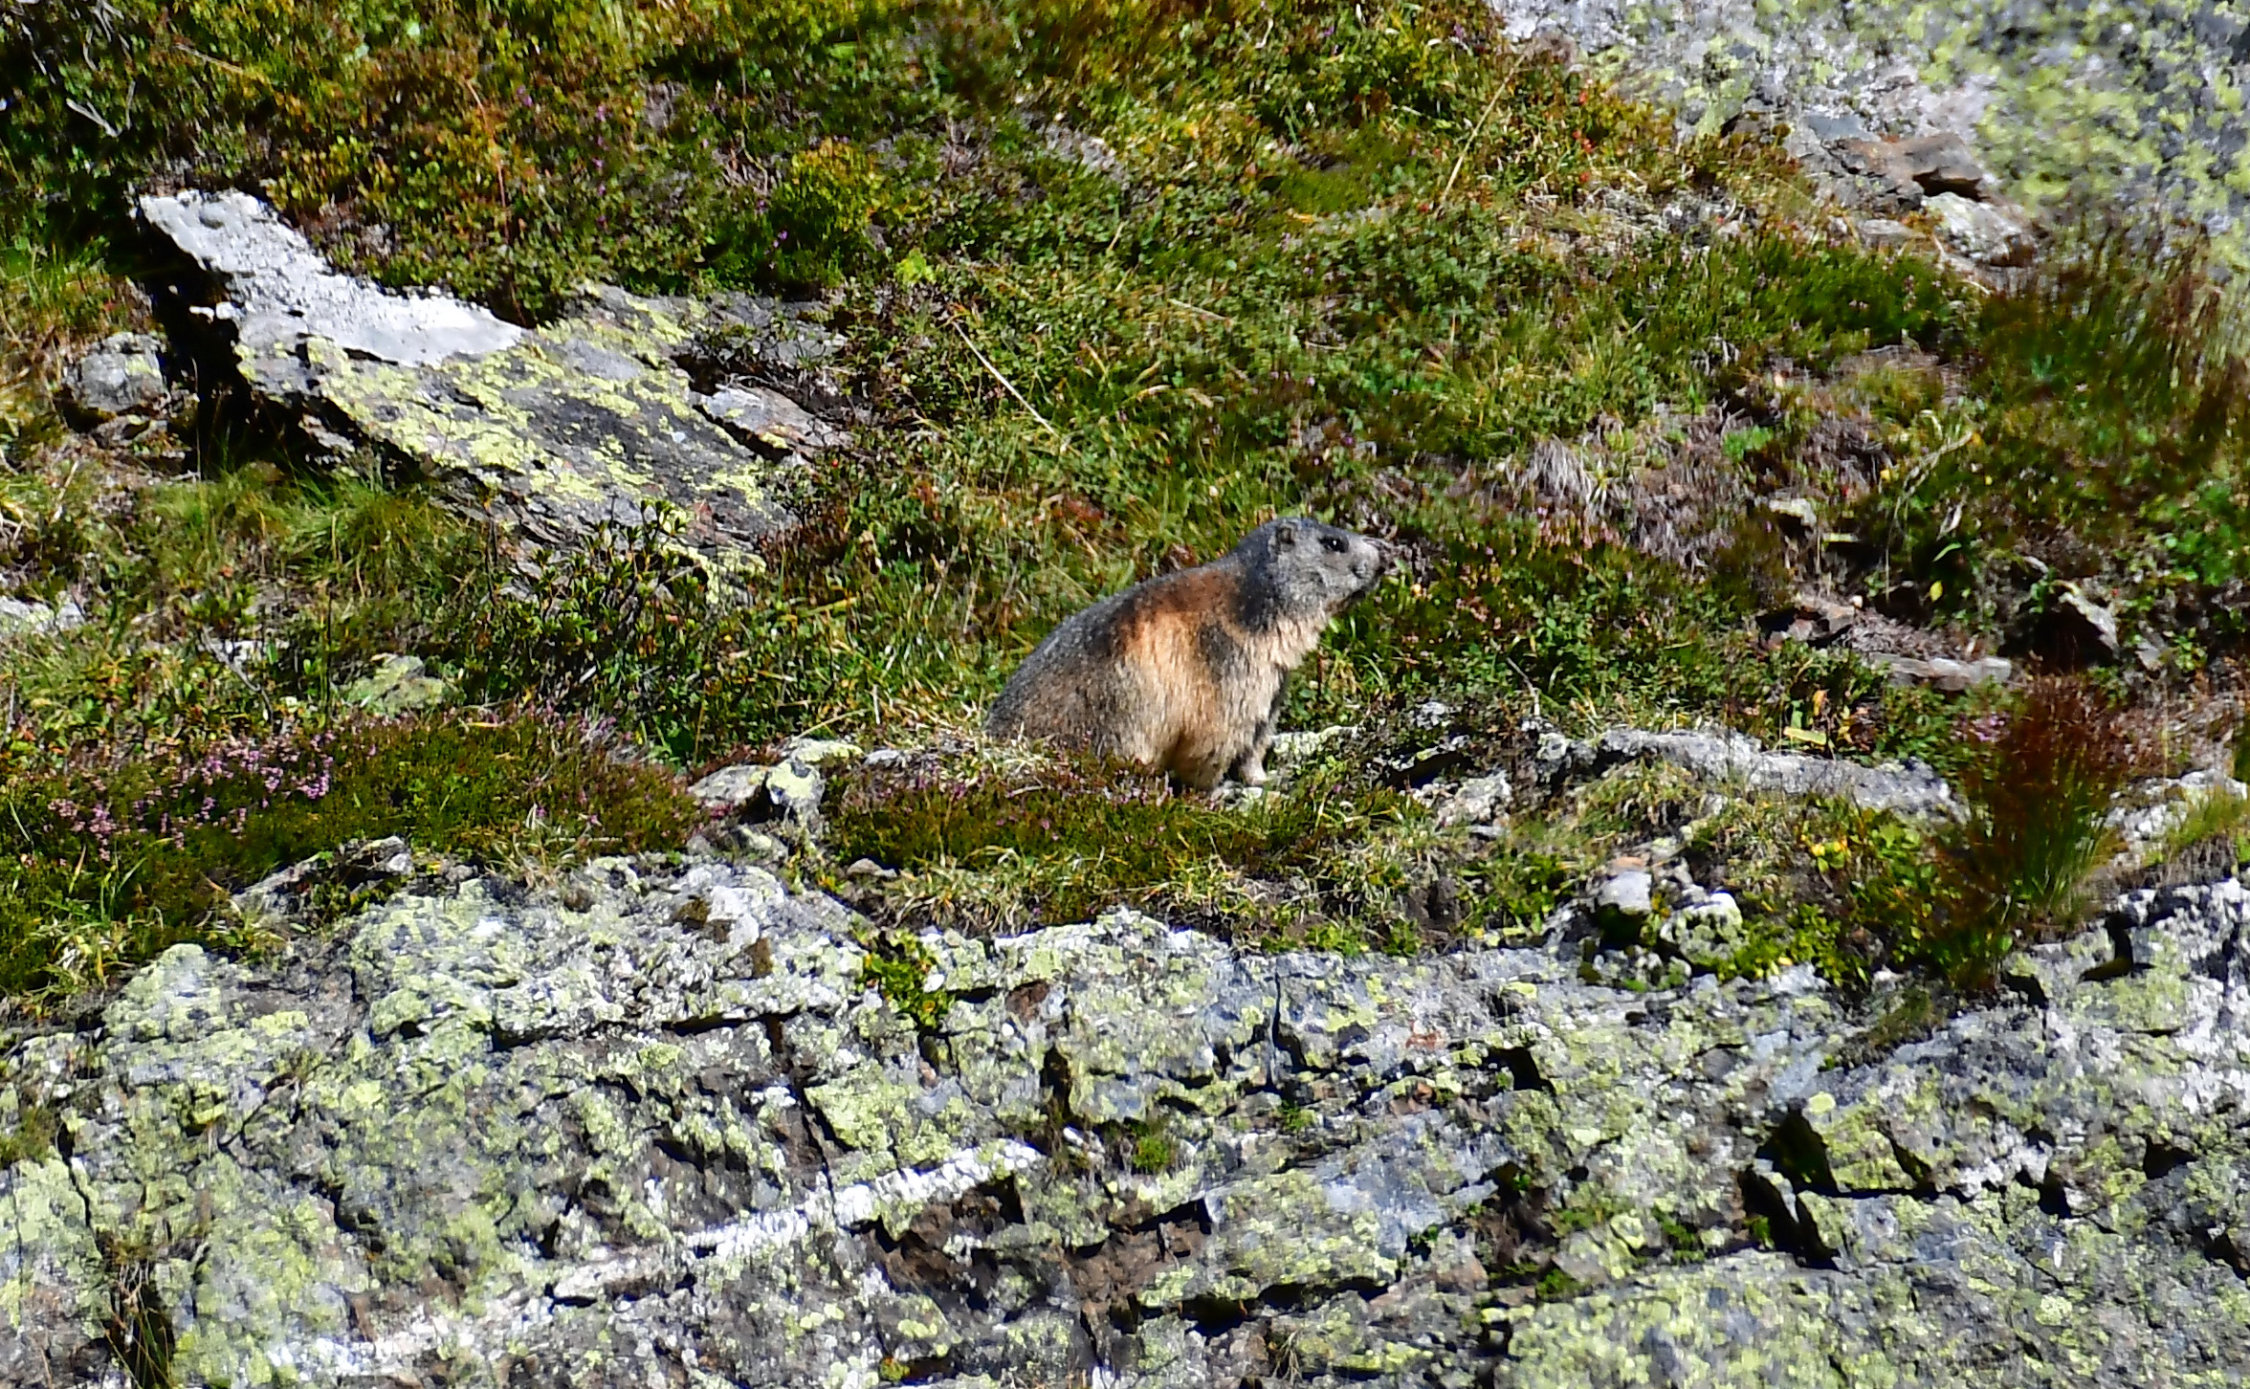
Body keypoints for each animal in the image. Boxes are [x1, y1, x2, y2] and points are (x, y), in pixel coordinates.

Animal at [986, 519, 1391, 789]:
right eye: (1333, 543)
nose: (1385, 555)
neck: (1255, 601)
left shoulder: (1272, 682)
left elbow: (1257, 736)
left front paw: (1265, 777)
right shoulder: (1231, 663)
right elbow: (1216, 734)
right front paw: (1217, 789)